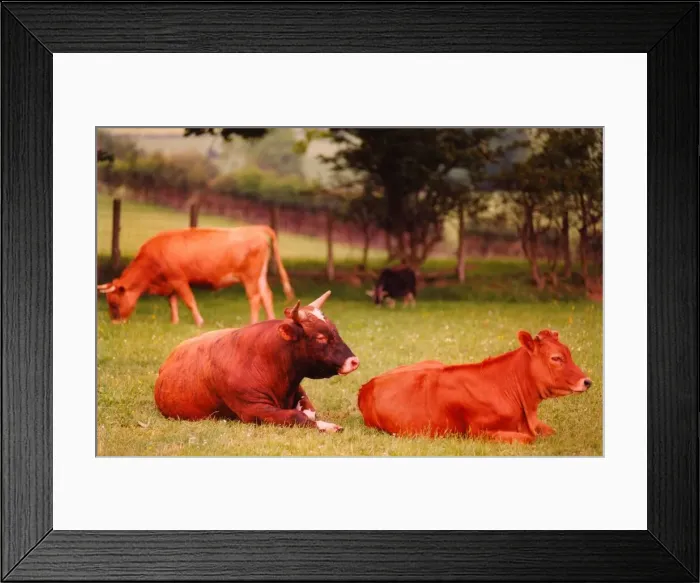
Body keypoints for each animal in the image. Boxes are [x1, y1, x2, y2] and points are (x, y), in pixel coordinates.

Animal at [97, 225, 294, 326]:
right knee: (266, 295)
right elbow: (172, 301)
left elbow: (189, 300)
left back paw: (252, 323)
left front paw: (199, 321)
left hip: (250, 277)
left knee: (255, 298)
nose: (115, 323)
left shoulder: (179, 279)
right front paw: (174, 322)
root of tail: (255, 229)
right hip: (260, 276)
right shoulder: (170, 282)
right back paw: (270, 320)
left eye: (114, 303)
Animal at [154, 291, 359, 432]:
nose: (354, 361)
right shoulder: (253, 409)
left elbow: (309, 412)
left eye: (335, 330)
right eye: (320, 338)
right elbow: (297, 416)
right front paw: (328, 427)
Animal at [357, 329, 592, 443]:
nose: (587, 381)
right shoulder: (477, 432)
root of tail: (367, 385)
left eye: (569, 352)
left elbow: (551, 432)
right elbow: (528, 439)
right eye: (556, 358)